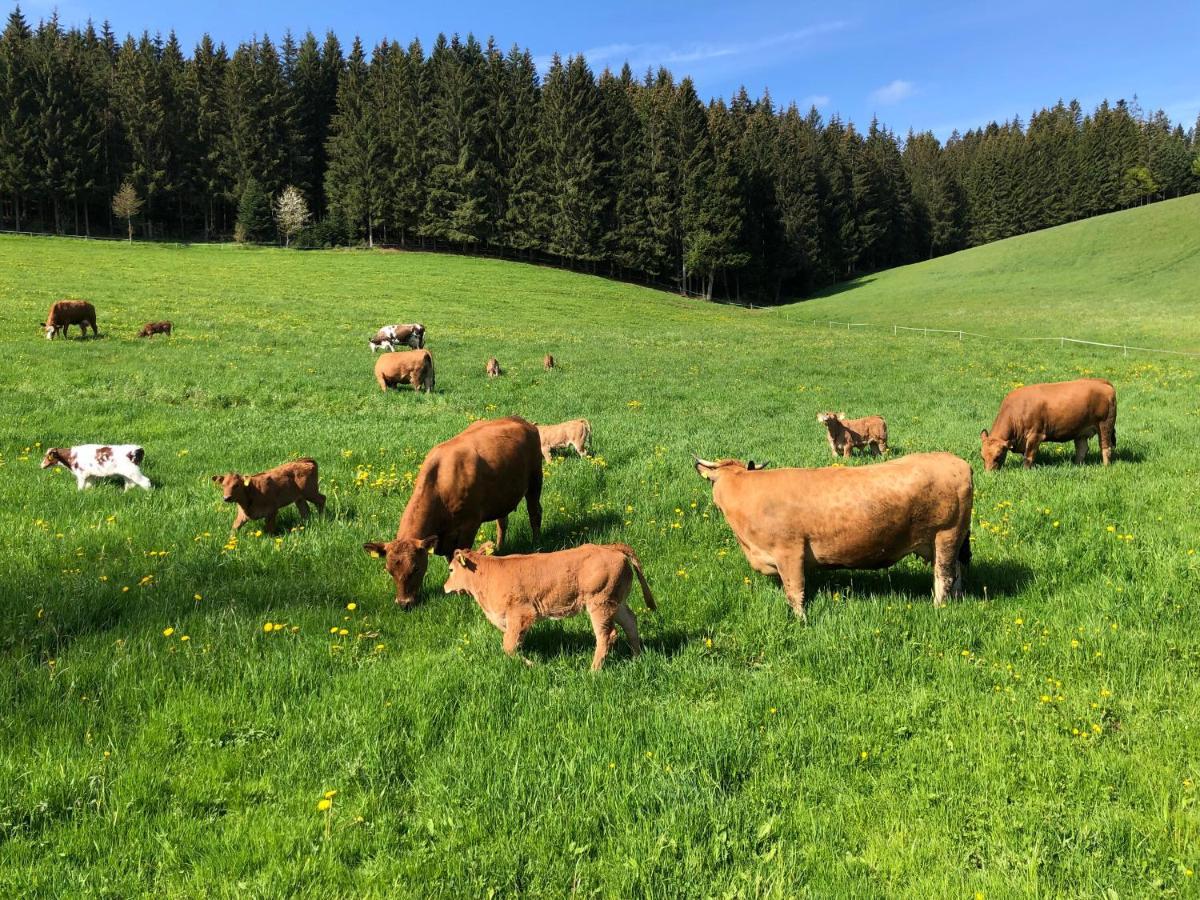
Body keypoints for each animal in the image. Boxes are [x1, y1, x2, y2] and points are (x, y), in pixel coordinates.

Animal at [357, 420, 542, 609]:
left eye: (416, 568)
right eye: (389, 570)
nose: (404, 603)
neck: (440, 485)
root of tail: (523, 421)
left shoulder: (469, 525)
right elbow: (450, 557)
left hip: (535, 479)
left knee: (535, 513)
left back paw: (536, 544)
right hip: (503, 497)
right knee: (502, 522)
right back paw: (499, 547)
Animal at [448, 542, 662, 672]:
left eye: (450, 569)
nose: (444, 587)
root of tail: (611, 547)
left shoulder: (521, 614)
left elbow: (508, 646)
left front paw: (532, 664)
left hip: (600, 603)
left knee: (607, 635)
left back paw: (593, 671)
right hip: (616, 603)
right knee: (630, 622)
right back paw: (636, 658)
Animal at [696, 451, 974, 619]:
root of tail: (957, 462)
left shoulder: (789, 552)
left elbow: (795, 590)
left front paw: (801, 621)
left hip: (946, 535)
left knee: (944, 576)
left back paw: (939, 607)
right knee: (957, 573)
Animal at [984, 379, 1113, 472]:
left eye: (998, 456)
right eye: (982, 457)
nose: (989, 474)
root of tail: (1101, 381)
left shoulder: (1035, 435)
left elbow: (1028, 456)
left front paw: (1025, 471)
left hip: (1105, 425)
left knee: (1105, 448)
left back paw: (1105, 467)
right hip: (1081, 431)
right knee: (1082, 449)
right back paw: (1077, 465)